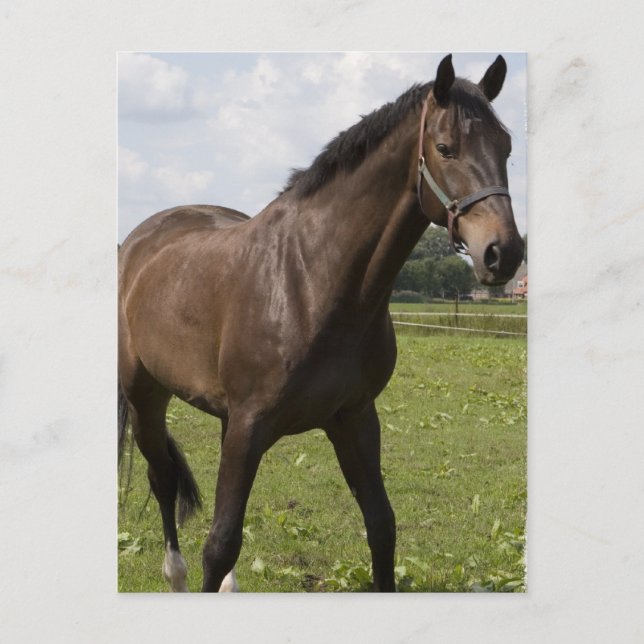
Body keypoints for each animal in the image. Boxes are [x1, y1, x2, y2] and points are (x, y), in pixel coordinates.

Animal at [118, 54, 524, 592]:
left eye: (506, 146)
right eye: (445, 148)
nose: (504, 253)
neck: (311, 279)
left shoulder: (354, 419)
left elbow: (382, 527)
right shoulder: (250, 425)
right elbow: (220, 543)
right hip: (146, 397)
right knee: (162, 482)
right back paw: (175, 575)